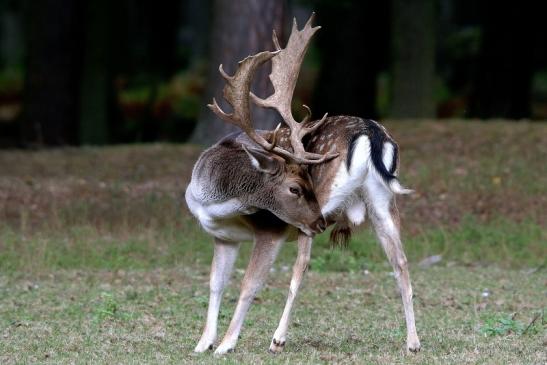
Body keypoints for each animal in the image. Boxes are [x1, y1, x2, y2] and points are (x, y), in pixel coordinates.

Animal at [186, 13, 422, 352]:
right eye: (295, 187)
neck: (213, 202)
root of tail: (371, 132)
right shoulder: (223, 236)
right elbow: (215, 283)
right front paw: (203, 342)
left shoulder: (270, 229)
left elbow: (248, 284)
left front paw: (225, 345)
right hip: (381, 200)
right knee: (401, 261)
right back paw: (413, 342)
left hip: (317, 214)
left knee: (302, 266)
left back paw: (277, 339)